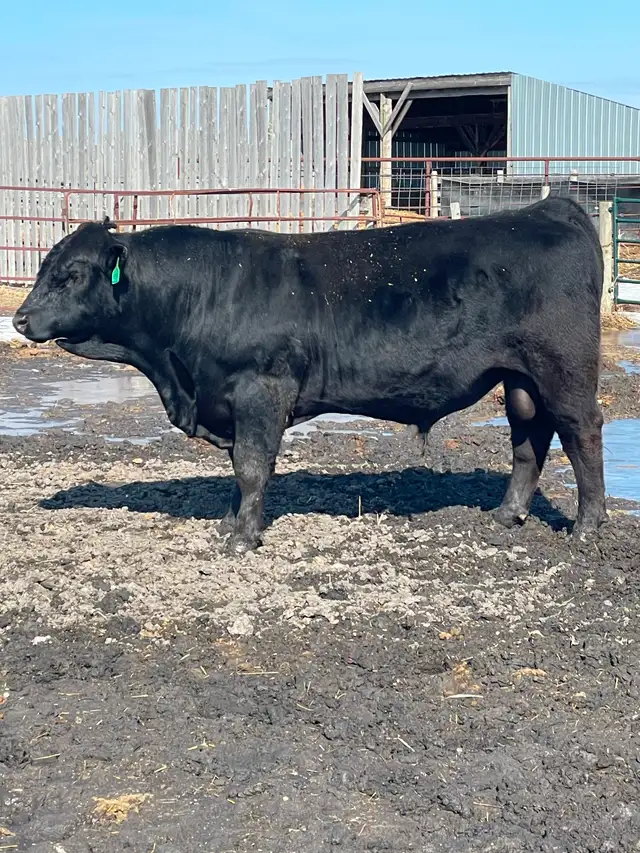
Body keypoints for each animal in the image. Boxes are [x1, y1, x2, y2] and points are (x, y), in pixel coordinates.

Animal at [12, 196, 608, 553]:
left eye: (71, 274)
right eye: (44, 266)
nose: (19, 318)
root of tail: (550, 208)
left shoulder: (261, 390)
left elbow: (252, 467)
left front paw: (242, 539)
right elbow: (241, 469)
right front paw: (232, 523)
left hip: (564, 369)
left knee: (581, 433)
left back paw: (588, 526)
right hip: (521, 378)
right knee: (529, 437)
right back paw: (506, 516)